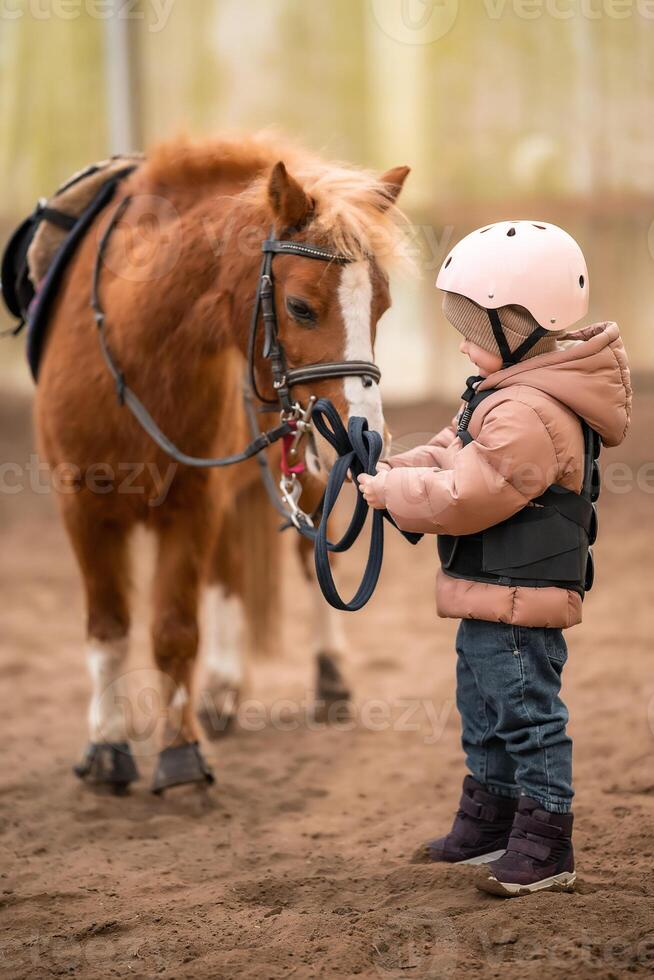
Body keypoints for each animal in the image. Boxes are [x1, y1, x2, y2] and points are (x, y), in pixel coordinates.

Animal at [36, 134, 410, 792]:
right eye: (300, 307)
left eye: (381, 307)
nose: (367, 434)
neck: (133, 358)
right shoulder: (80, 506)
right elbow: (109, 629)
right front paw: (106, 749)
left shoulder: (193, 500)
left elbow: (174, 630)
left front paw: (181, 752)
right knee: (229, 572)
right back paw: (224, 689)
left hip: (302, 472)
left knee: (309, 556)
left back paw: (328, 678)